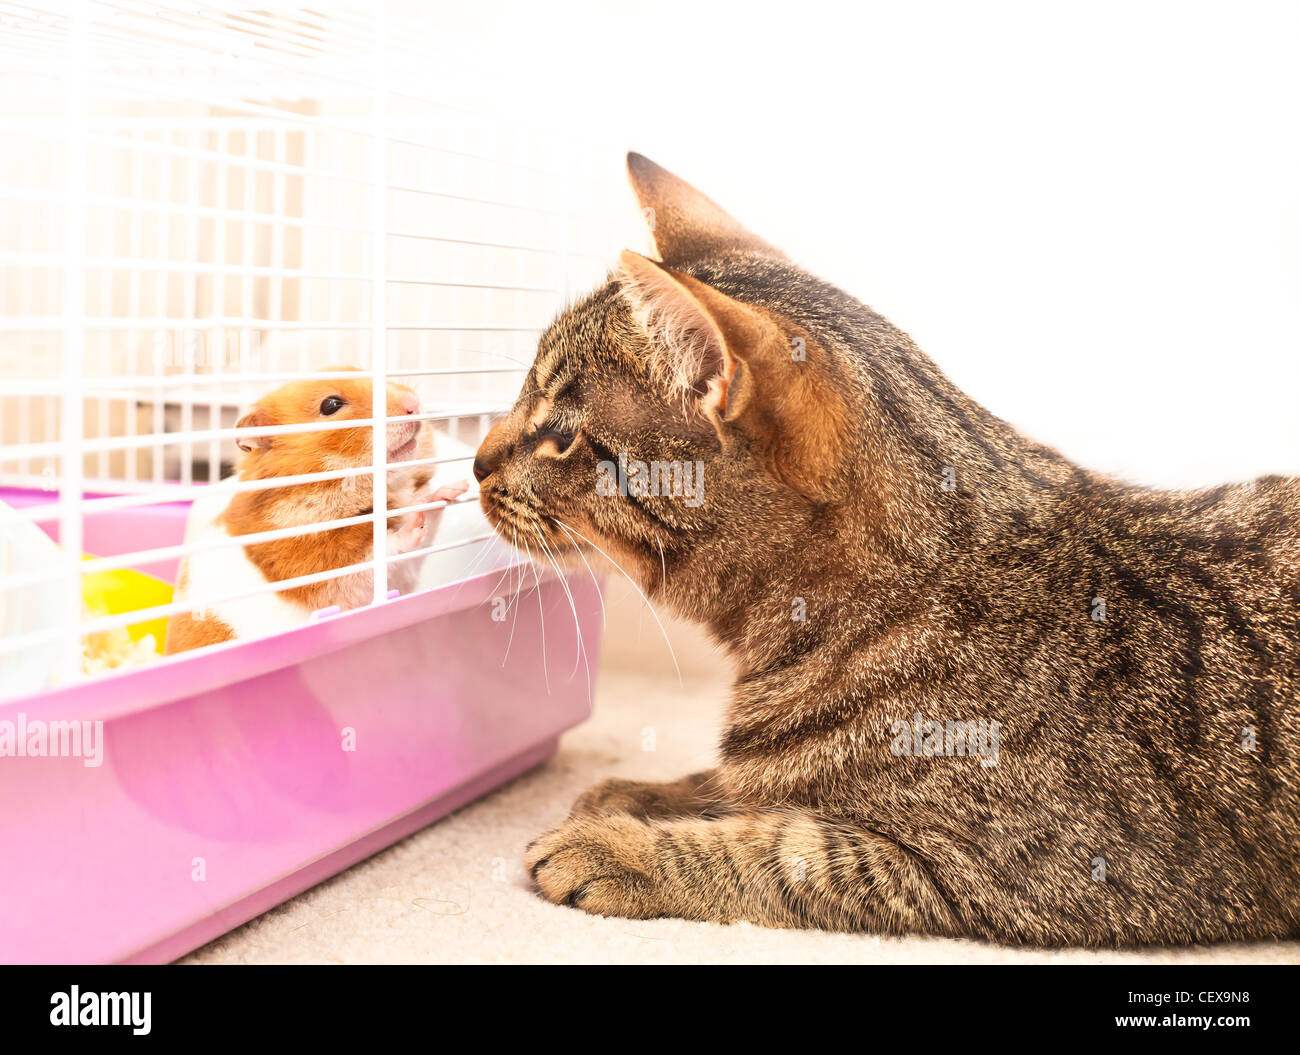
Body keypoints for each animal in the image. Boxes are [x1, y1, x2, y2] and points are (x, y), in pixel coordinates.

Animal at [164, 368, 468, 654]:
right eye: (331, 405)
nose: (413, 404)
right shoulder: (321, 572)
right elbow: (379, 553)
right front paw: (412, 523)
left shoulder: (405, 572)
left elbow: (424, 524)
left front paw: (451, 491)